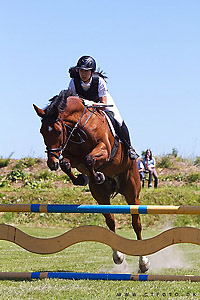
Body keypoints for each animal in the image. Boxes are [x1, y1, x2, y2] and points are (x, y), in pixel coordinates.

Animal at [33, 88, 150, 272]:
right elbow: (67, 163)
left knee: (136, 222)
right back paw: (118, 258)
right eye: (42, 131)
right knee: (110, 221)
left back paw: (143, 262)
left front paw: (97, 175)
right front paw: (82, 179)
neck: (79, 127)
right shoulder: (72, 156)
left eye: (58, 131)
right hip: (101, 197)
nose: (52, 163)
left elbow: (89, 159)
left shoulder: (104, 150)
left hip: (132, 191)